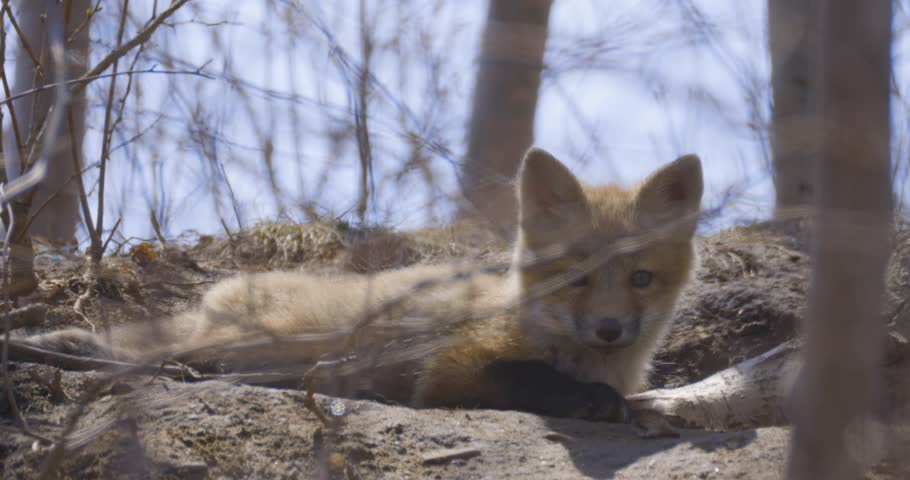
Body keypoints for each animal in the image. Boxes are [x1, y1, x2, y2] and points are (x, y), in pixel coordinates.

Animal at [23, 148, 702, 422]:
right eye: (576, 279)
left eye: (641, 278)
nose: (610, 330)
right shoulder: (450, 371)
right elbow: (533, 379)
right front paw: (591, 398)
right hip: (256, 342)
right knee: (160, 357)